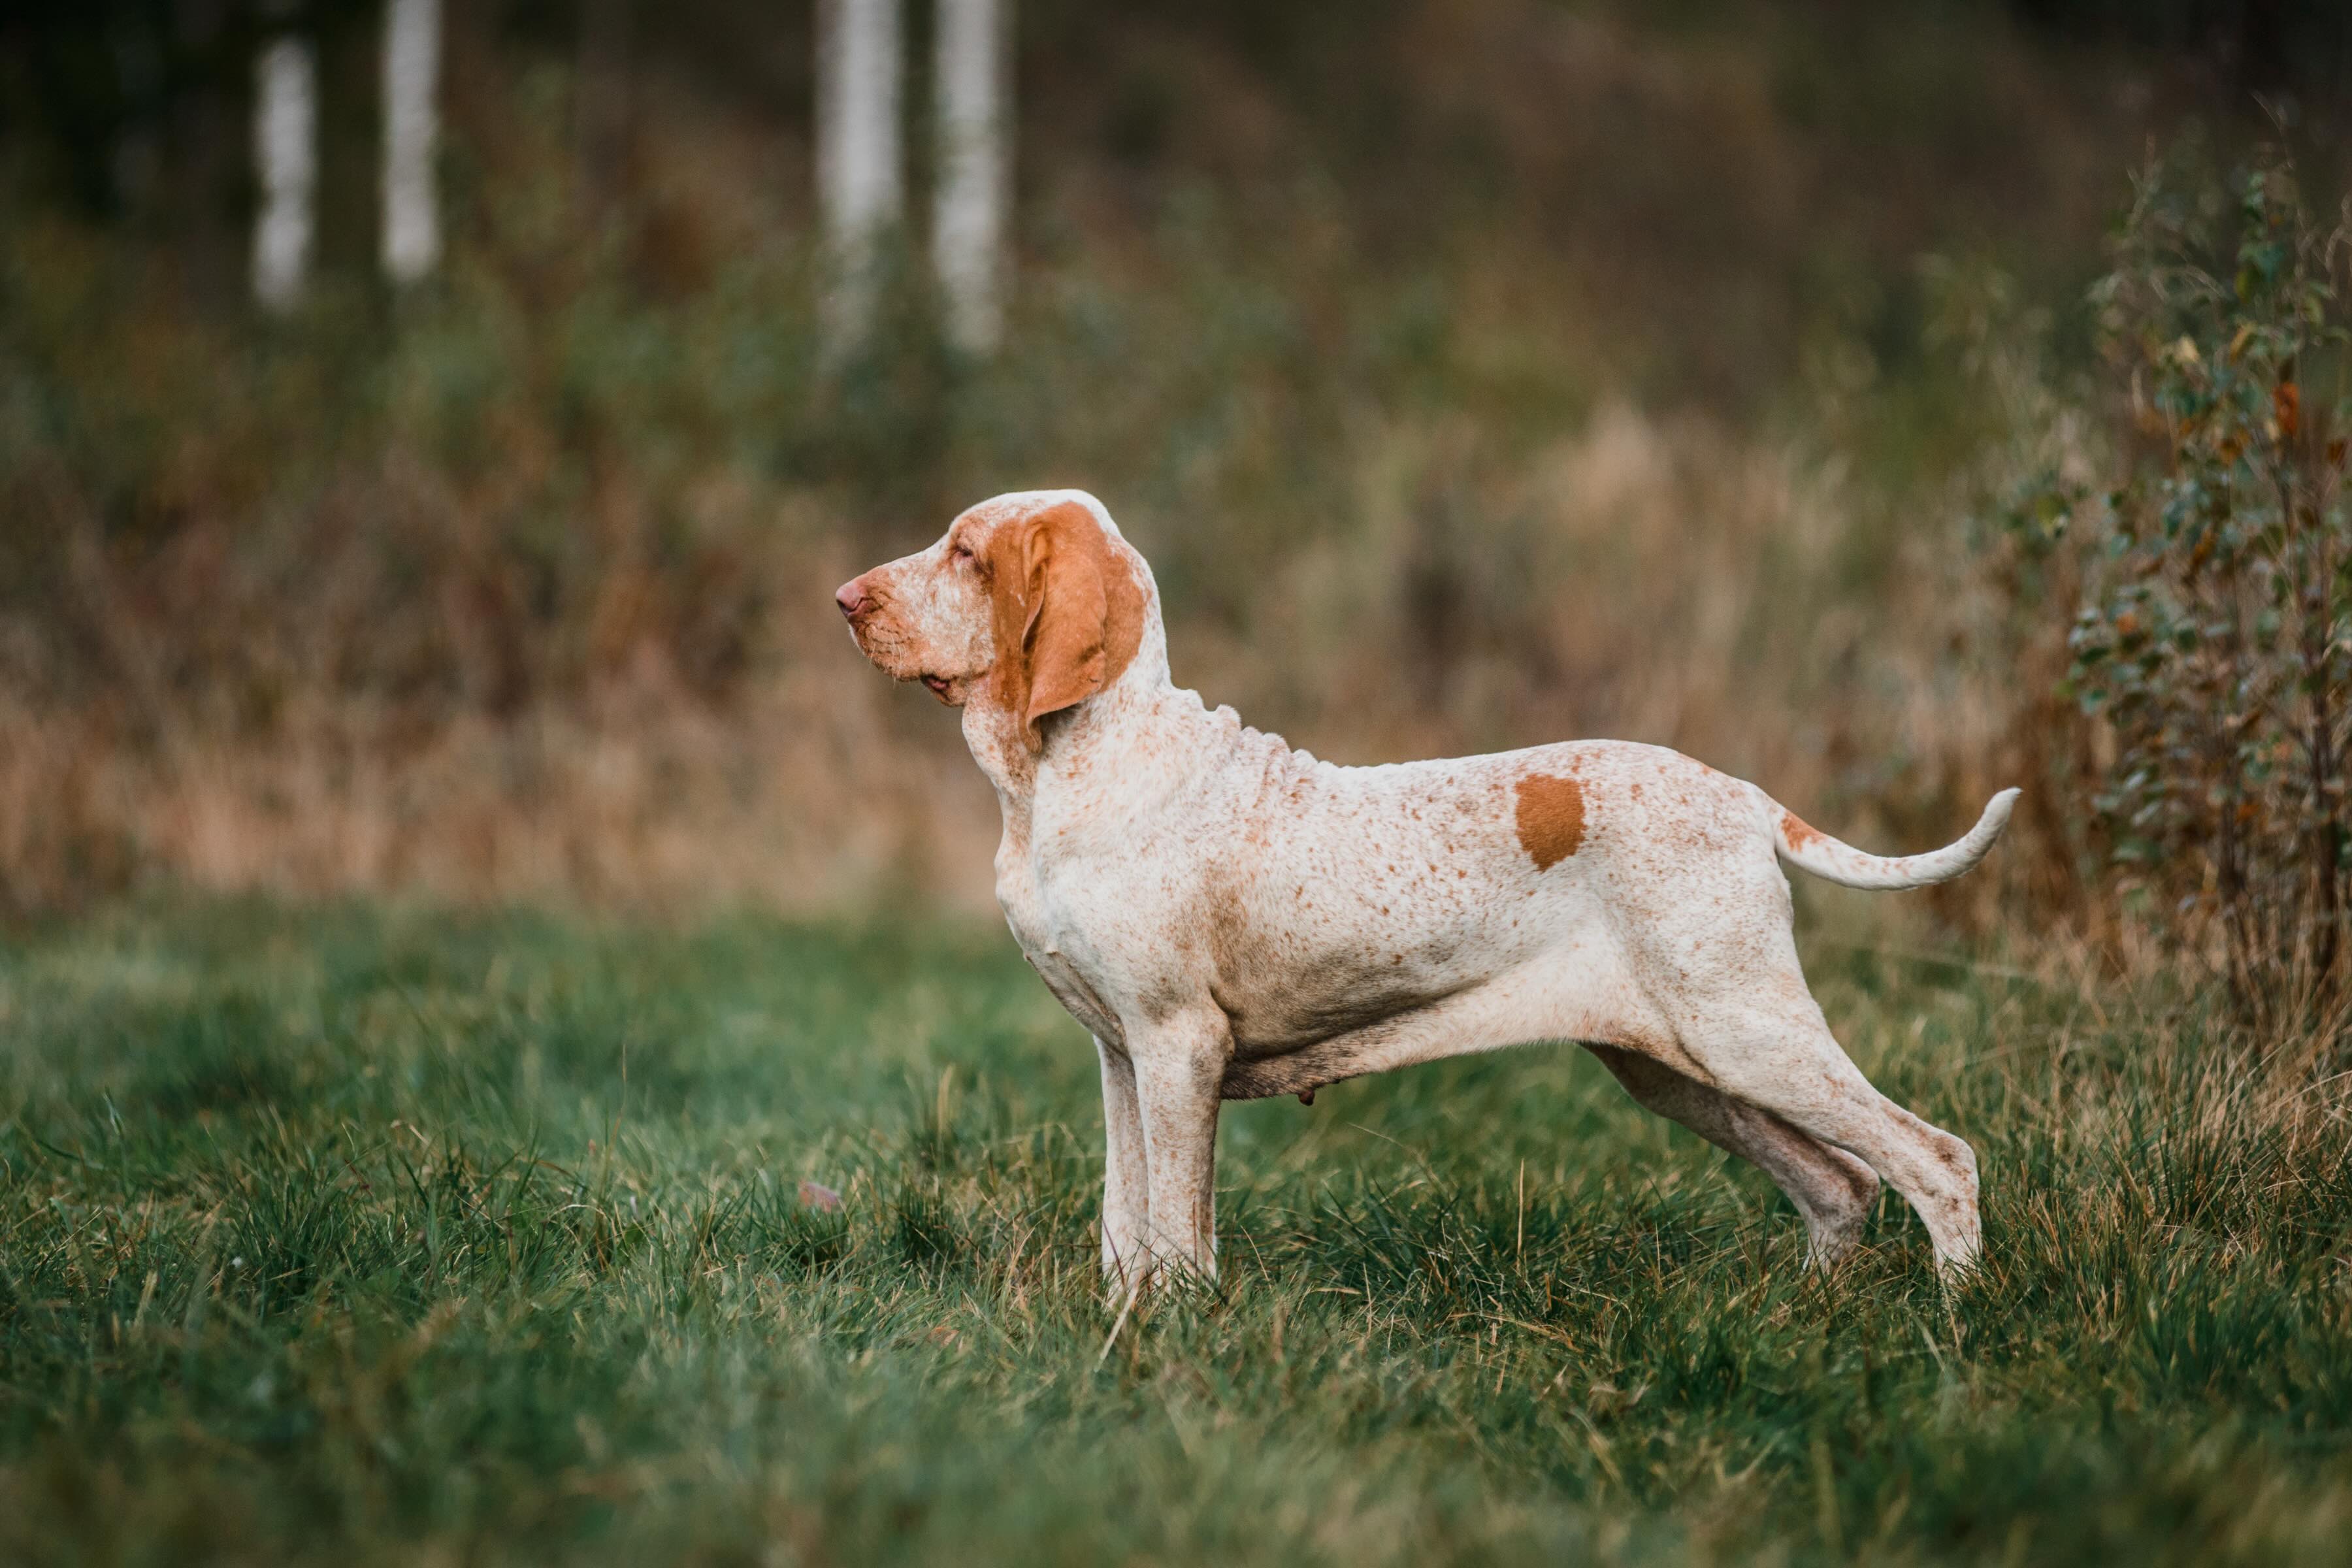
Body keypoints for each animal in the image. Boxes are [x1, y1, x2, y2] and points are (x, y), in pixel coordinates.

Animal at [837, 491, 2013, 1288]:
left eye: (967, 553)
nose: (844, 600)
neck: (1069, 774)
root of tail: (1748, 800)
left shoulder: (1176, 1047)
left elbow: (1174, 1231)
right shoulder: (1120, 1055)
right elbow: (1125, 1226)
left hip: (1746, 1032)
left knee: (1938, 1160)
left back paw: (1954, 1328)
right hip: (1679, 1065)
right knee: (1841, 1184)